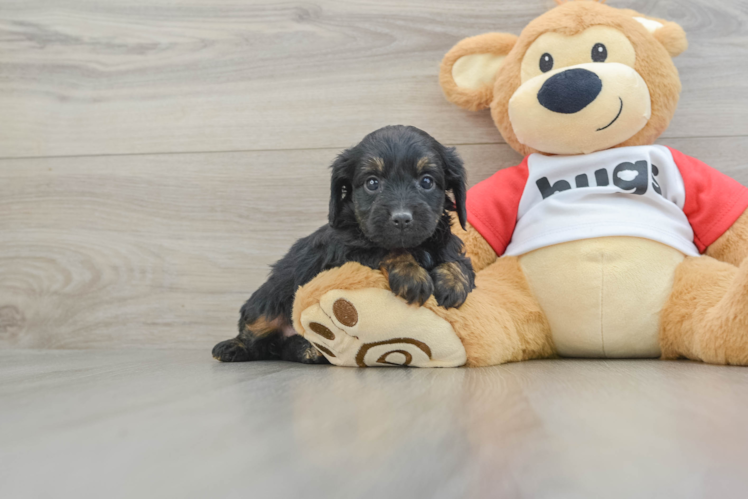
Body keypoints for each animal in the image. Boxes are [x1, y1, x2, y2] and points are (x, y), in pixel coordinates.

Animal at [213, 126, 476, 364]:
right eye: (372, 183)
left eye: (427, 181)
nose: (401, 219)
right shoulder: (345, 251)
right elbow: (386, 248)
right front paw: (411, 274)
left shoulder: (446, 241)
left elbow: (457, 260)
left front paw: (453, 282)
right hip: (267, 301)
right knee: (255, 333)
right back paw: (231, 347)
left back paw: (308, 350)